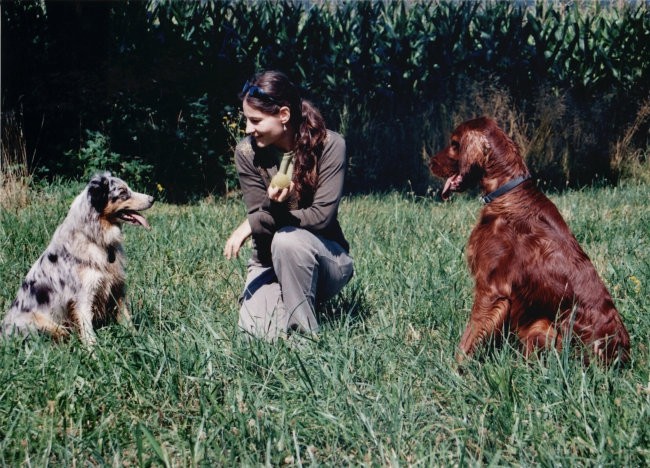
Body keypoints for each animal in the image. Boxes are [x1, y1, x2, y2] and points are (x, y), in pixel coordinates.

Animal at [430, 117, 628, 366]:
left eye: (455, 144)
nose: (429, 163)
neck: (506, 194)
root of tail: (620, 353)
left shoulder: (490, 289)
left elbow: (469, 337)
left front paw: (453, 369)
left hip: (545, 326)